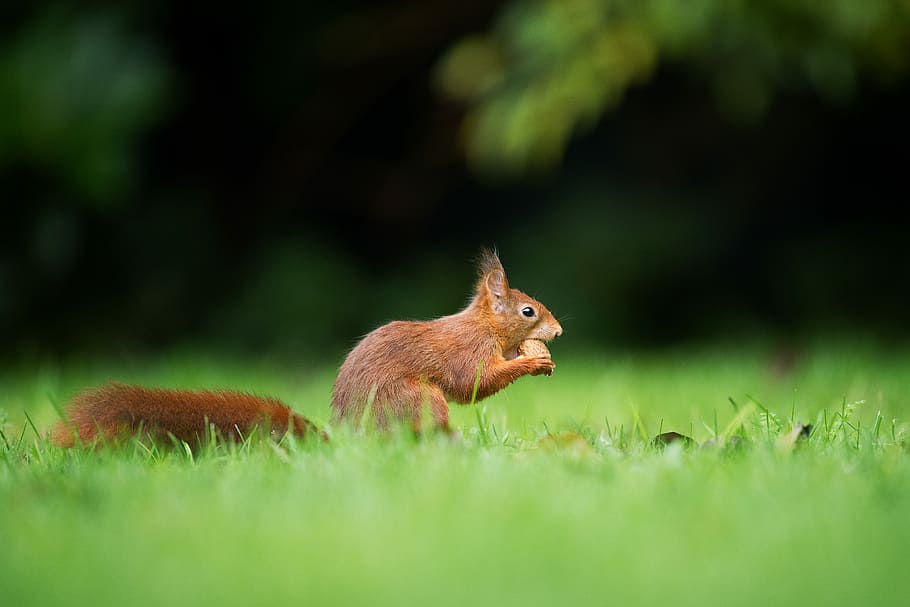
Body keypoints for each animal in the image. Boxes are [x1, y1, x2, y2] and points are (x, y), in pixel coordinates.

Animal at [331, 249, 562, 431]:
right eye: (528, 311)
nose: (558, 331)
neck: (485, 326)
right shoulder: (471, 348)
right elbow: (476, 381)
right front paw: (533, 362)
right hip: (417, 399)